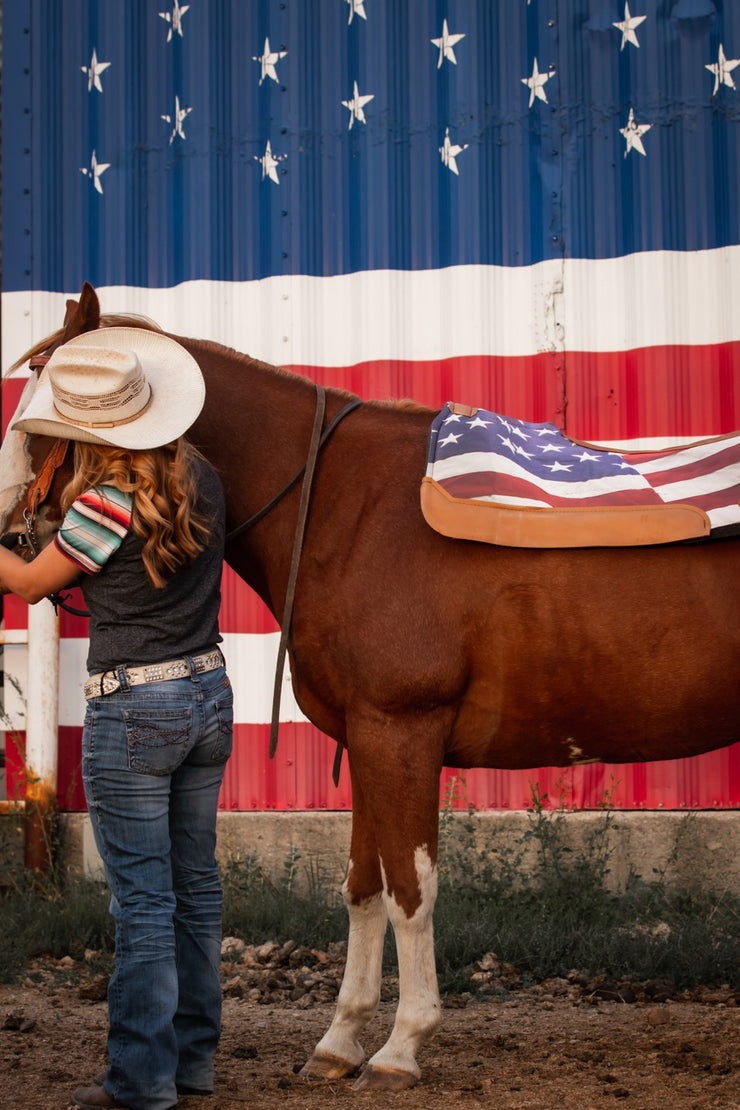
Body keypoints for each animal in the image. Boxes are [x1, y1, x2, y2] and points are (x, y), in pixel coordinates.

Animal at [4, 281, 740, 1087]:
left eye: (37, 421)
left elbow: (410, 890)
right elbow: (362, 886)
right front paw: (341, 1040)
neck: (344, 506)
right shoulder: (365, 740)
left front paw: (401, 1046)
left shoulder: (402, 731)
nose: (12, 541)